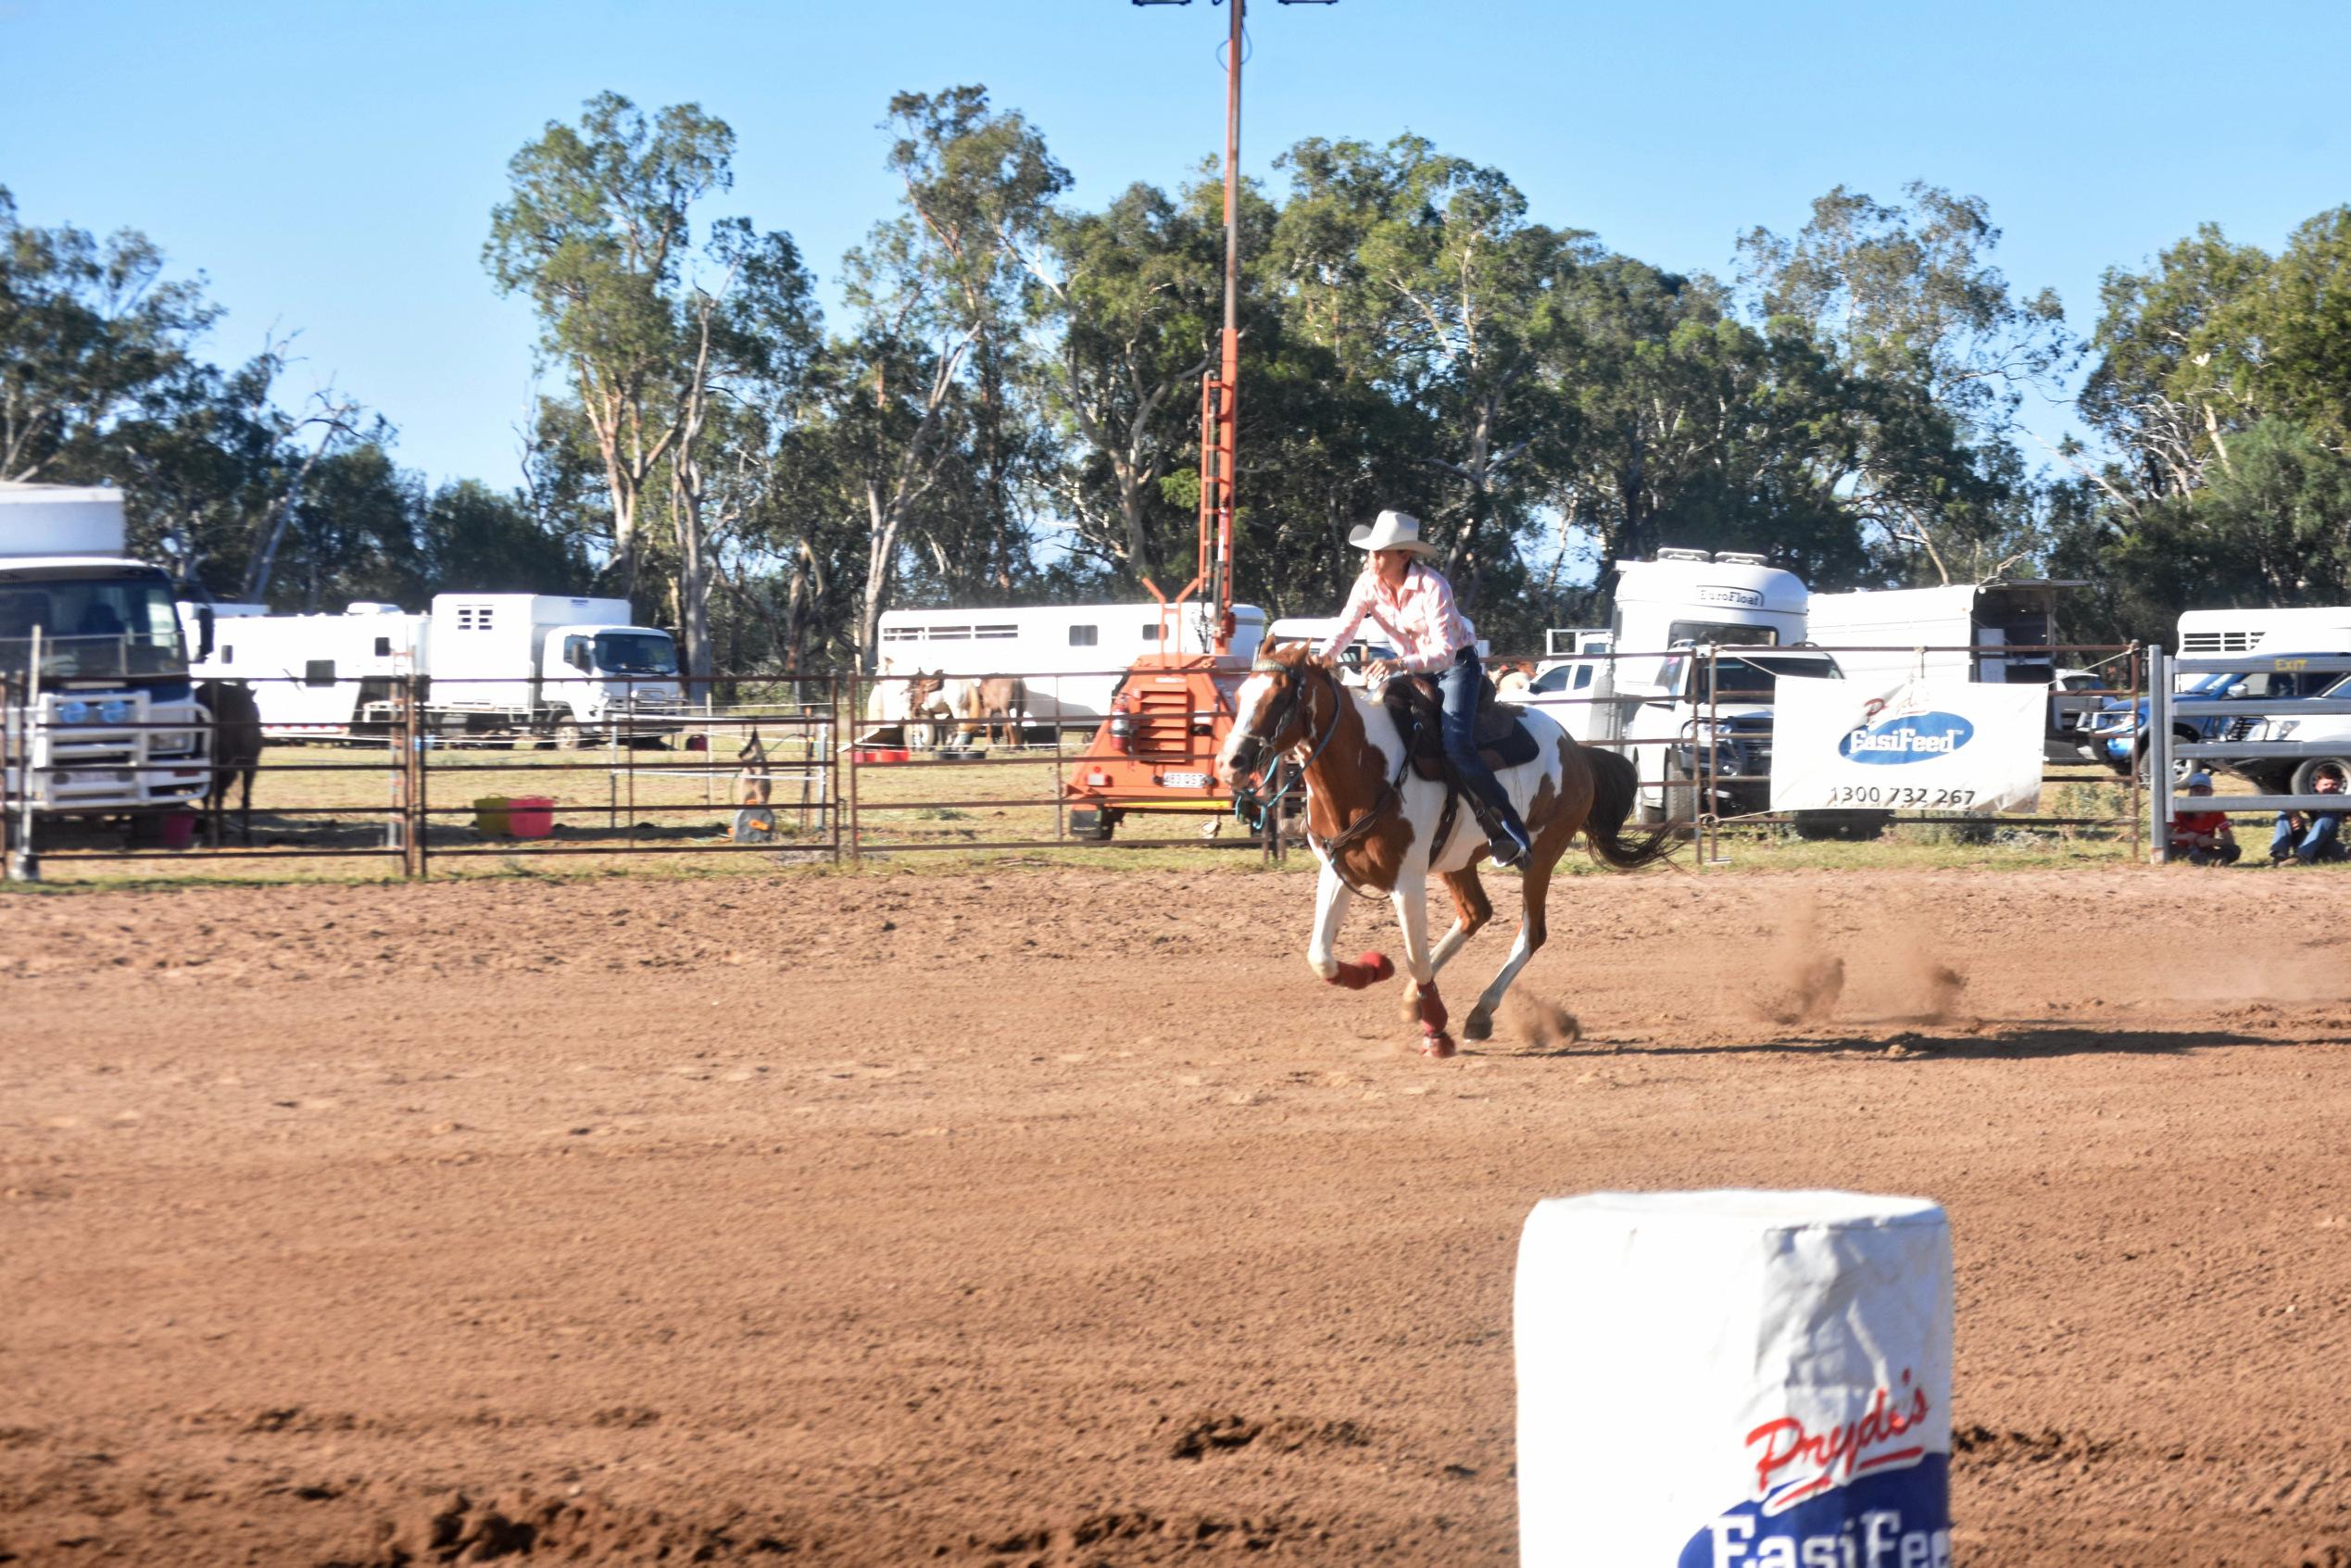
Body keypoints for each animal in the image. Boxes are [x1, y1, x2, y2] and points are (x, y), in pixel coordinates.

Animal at [1213, 644, 1674, 1062]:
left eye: (1279, 697)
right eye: (1242, 693)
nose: (1231, 762)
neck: (1365, 768)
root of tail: (1577, 749)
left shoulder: (1407, 880)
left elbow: (1416, 956)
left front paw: (1437, 1034)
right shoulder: (1337, 869)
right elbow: (1321, 957)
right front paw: (1374, 969)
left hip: (1541, 854)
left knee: (1531, 933)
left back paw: (1479, 1013)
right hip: (1459, 860)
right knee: (1475, 913)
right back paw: (1416, 1001)